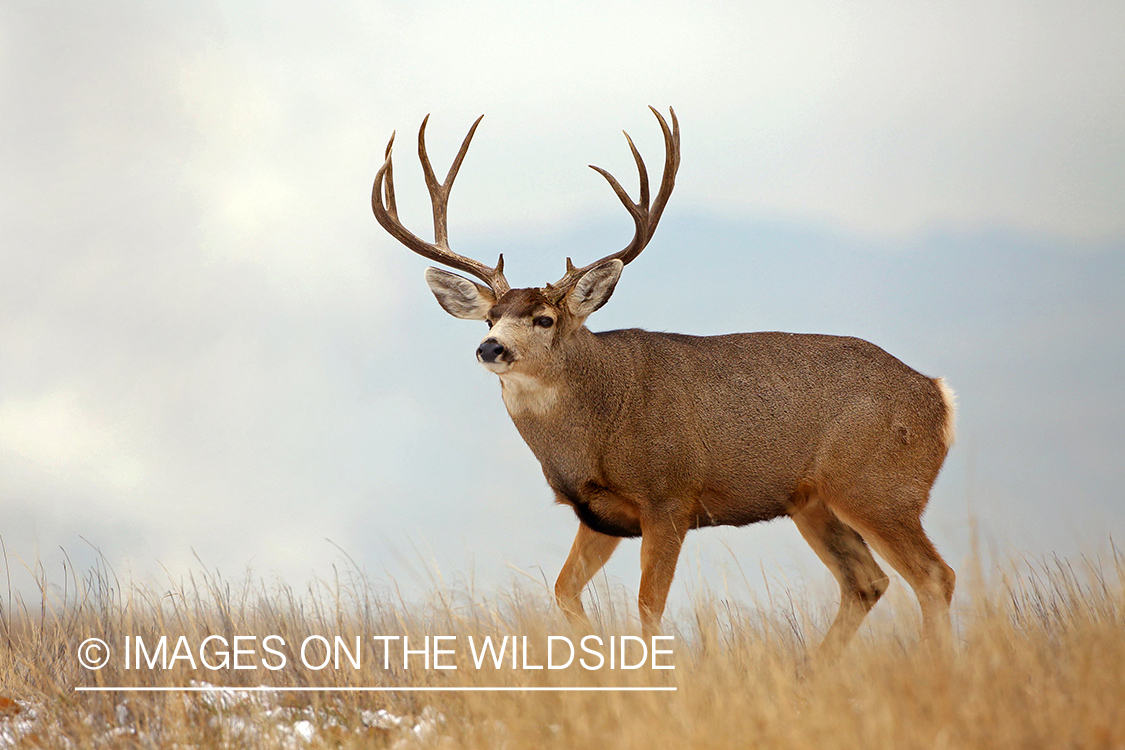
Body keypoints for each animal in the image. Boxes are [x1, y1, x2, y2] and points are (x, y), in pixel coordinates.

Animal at [371, 105, 958, 656]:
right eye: (491, 317)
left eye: (544, 319)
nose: (490, 347)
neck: (594, 431)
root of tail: (938, 395)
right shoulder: (601, 515)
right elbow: (564, 592)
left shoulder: (670, 496)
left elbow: (648, 604)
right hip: (812, 501)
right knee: (867, 581)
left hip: (879, 487)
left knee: (935, 576)